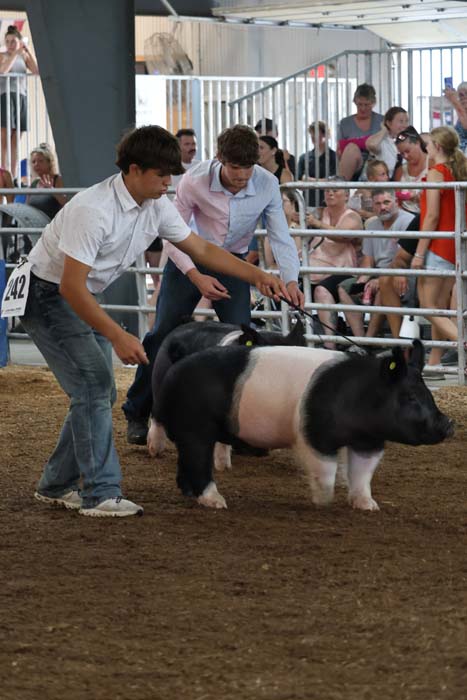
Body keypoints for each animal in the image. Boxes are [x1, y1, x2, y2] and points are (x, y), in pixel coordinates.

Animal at [151, 339, 453, 511]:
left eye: (428, 393)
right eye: (410, 396)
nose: (449, 424)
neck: (357, 394)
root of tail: (174, 371)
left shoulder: (369, 441)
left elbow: (362, 474)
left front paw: (369, 506)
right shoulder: (315, 433)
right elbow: (326, 470)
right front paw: (323, 501)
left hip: (190, 431)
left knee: (186, 462)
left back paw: (189, 494)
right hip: (195, 427)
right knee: (198, 462)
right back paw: (217, 503)